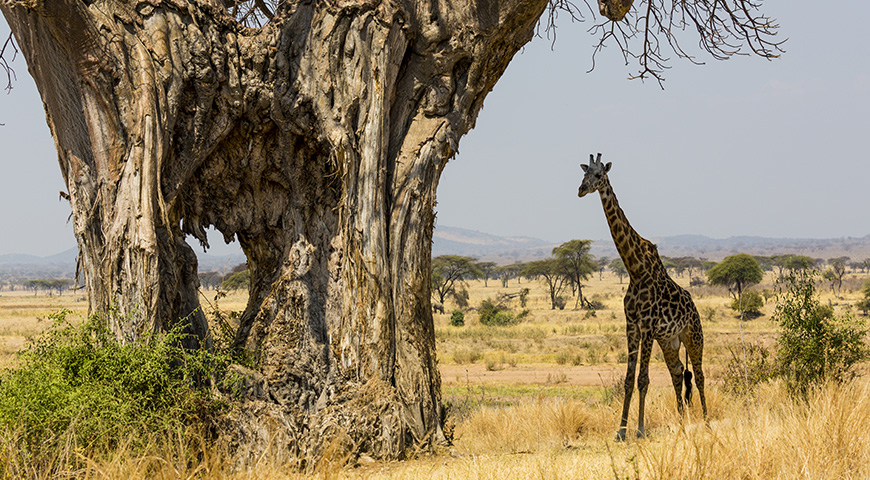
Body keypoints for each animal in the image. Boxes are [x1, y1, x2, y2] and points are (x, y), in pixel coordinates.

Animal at [580, 153, 708, 438]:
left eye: (599, 175)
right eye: (583, 173)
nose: (581, 189)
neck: (634, 269)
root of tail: (694, 306)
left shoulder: (648, 325)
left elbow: (643, 379)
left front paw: (638, 430)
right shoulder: (632, 324)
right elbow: (629, 379)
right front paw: (621, 431)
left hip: (693, 336)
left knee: (699, 374)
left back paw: (706, 420)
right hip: (669, 341)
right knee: (678, 372)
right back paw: (680, 420)